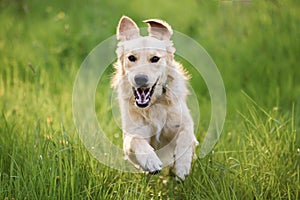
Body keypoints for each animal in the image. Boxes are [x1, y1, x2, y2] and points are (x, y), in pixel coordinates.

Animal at [111, 16, 198, 180]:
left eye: (155, 58)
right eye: (131, 58)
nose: (140, 79)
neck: (154, 104)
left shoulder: (185, 123)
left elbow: (186, 136)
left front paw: (182, 168)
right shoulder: (131, 135)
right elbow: (135, 140)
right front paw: (150, 161)